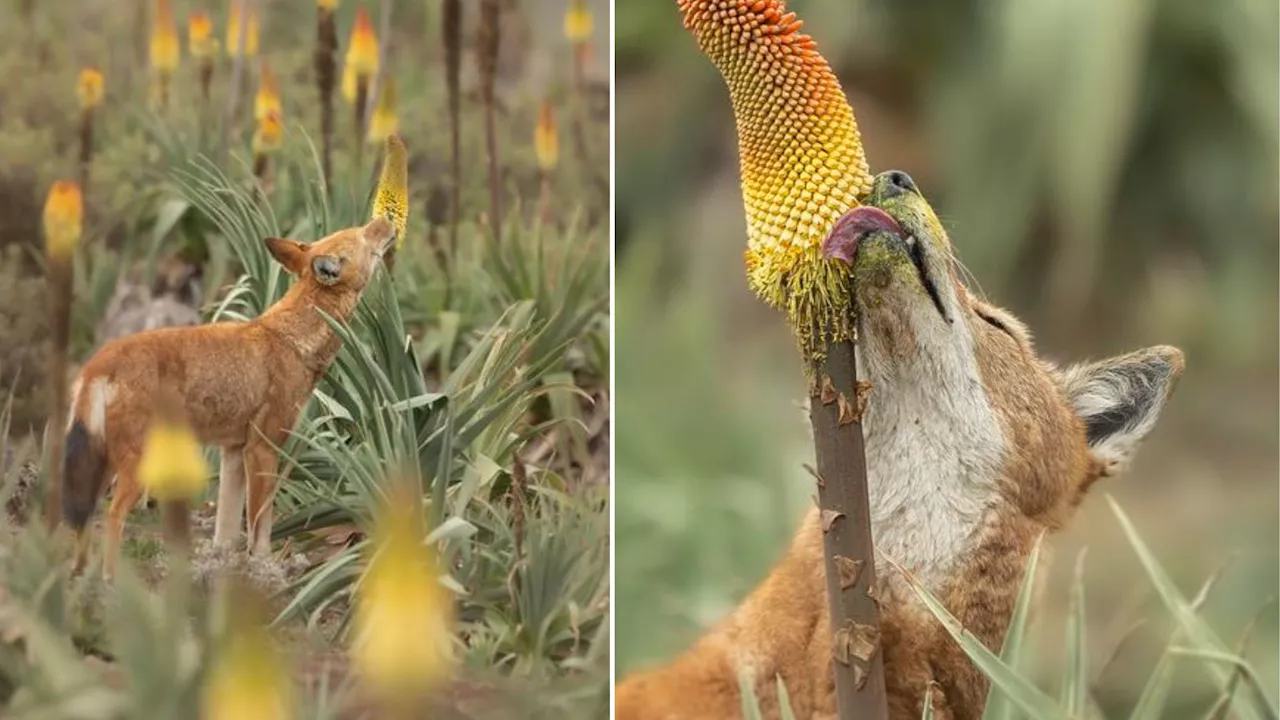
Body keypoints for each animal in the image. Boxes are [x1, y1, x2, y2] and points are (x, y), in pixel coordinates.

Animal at [60, 215, 396, 579]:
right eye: (363, 235)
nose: (385, 219)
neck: (293, 341)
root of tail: (99, 360)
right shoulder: (262, 450)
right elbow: (260, 527)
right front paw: (263, 571)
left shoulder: (233, 452)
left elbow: (225, 533)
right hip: (136, 467)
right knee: (113, 515)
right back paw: (111, 580)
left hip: (106, 465)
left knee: (86, 518)